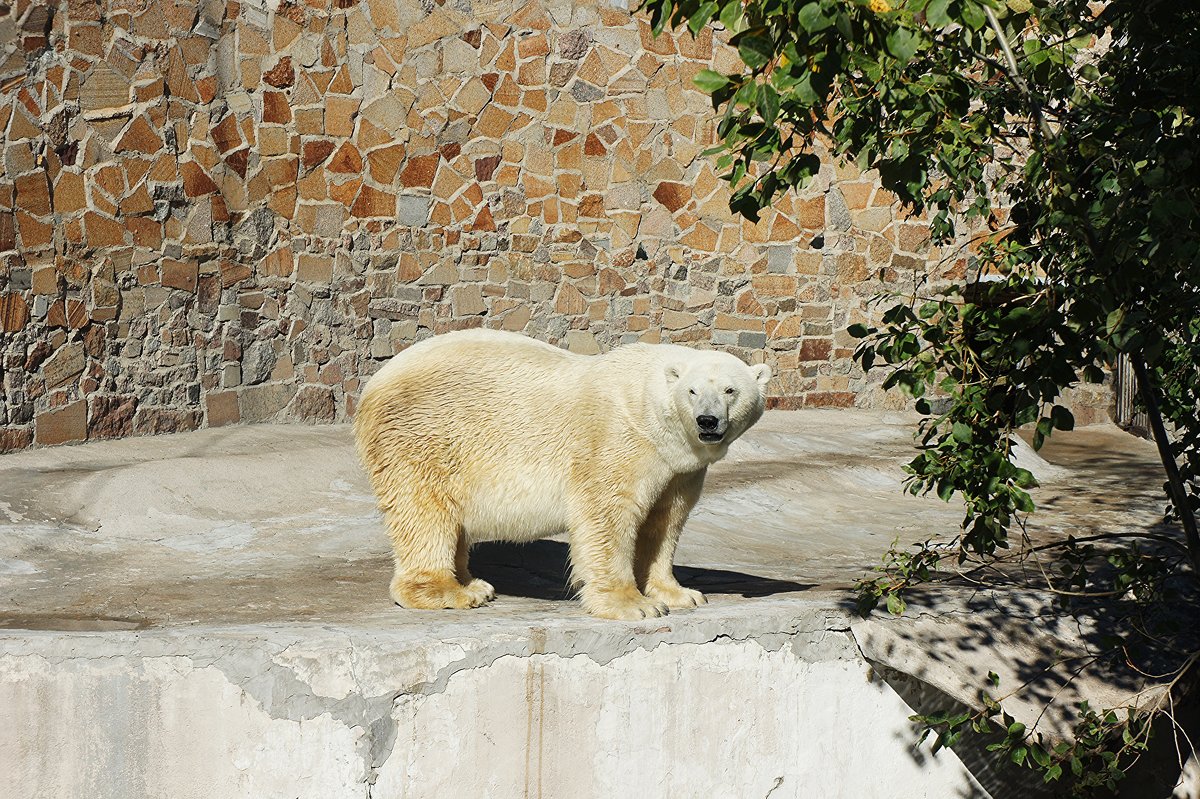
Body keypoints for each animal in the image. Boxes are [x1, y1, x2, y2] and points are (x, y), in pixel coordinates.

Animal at [350, 326, 772, 619]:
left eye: (731, 390)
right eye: (692, 391)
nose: (707, 421)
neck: (646, 412)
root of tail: (374, 384)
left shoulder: (678, 469)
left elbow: (664, 522)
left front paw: (680, 594)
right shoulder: (616, 442)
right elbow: (607, 518)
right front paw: (633, 605)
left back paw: (475, 583)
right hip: (423, 438)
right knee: (424, 514)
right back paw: (452, 592)